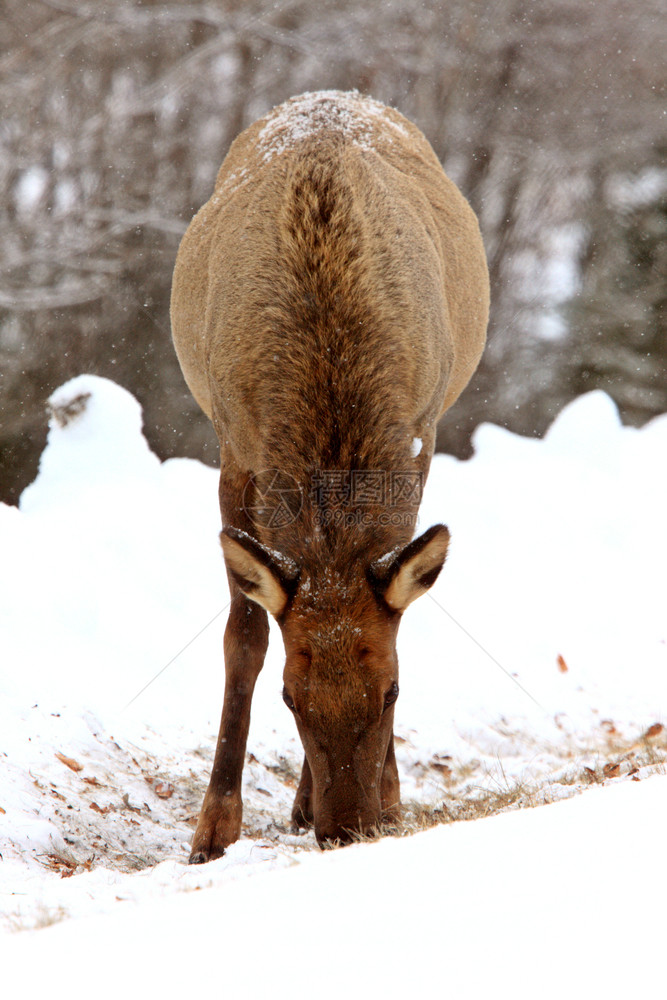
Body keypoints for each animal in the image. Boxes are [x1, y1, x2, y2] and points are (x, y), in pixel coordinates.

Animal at [170, 94, 488, 860]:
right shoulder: (235, 448)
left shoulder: (419, 437)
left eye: (392, 690)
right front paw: (213, 828)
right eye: (290, 695)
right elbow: (244, 638)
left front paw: (392, 796)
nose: (346, 829)